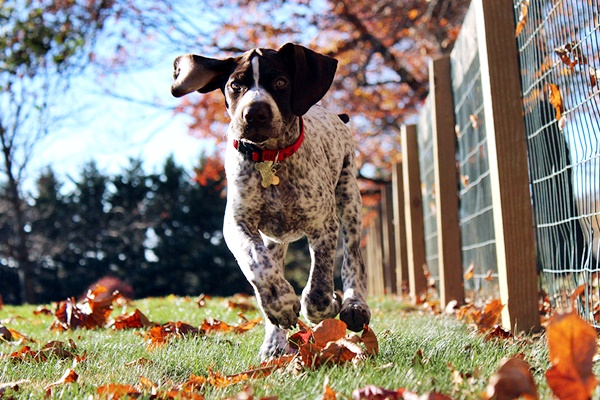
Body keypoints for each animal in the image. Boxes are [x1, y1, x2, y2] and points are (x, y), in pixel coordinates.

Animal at [169, 43, 372, 360]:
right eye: (235, 85)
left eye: (280, 82)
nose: (255, 113)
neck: (270, 159)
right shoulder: (238, 224)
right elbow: (257, 263)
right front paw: (281, 304)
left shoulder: (323, 224)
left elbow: (318, 287)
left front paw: (329, 304)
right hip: (275, 239)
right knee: (270, 265)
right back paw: (274, 343)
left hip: (349, 197)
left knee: (353, 259)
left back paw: (354, 305)